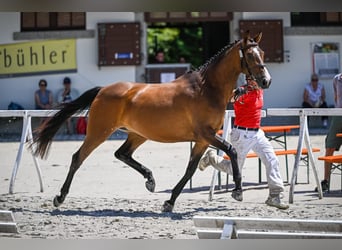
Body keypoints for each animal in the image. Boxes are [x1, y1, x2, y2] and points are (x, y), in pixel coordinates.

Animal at [31, 30, 270, 212]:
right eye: (251, 56)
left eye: (263, 53)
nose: (266, 81)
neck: (206, 89)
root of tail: (102, 90)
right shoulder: (206, 135)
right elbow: (232, 150)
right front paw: (237, 191)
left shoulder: (202, 140)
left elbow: (190, 170)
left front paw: (169, 202)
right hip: (99, 132)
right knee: (78, 158)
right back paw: (60, 197)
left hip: (138, 134)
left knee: (121, 154)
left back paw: (150, 180)